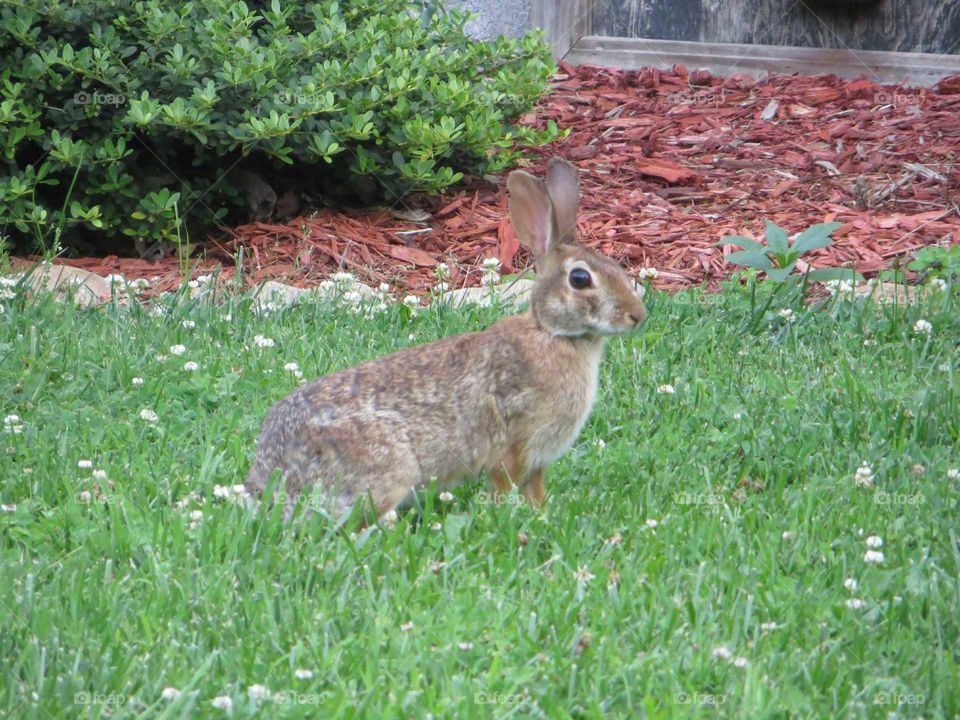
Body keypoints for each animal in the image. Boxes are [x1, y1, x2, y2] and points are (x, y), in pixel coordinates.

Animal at [244, 158, 647, 521]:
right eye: (580, 279)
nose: (638, 316)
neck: (552, 334)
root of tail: (269, 476)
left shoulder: (538, 461)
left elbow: (535, 491)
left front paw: (540, 514)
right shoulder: (513, 448)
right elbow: (504, 485)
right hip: (390, 469)